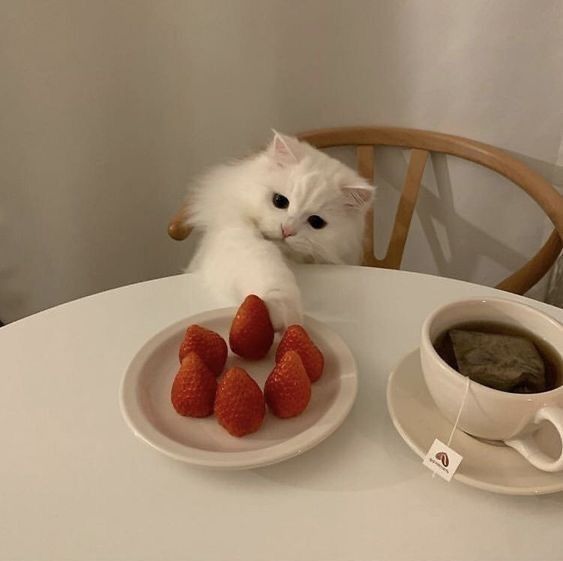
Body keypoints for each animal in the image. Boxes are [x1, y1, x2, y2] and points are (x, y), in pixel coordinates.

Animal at [187, 132, 376, 328]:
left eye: (316, 222)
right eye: (279, 201)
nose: (287, 230)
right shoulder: (234, 237)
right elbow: (266, 263)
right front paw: (280, 308)